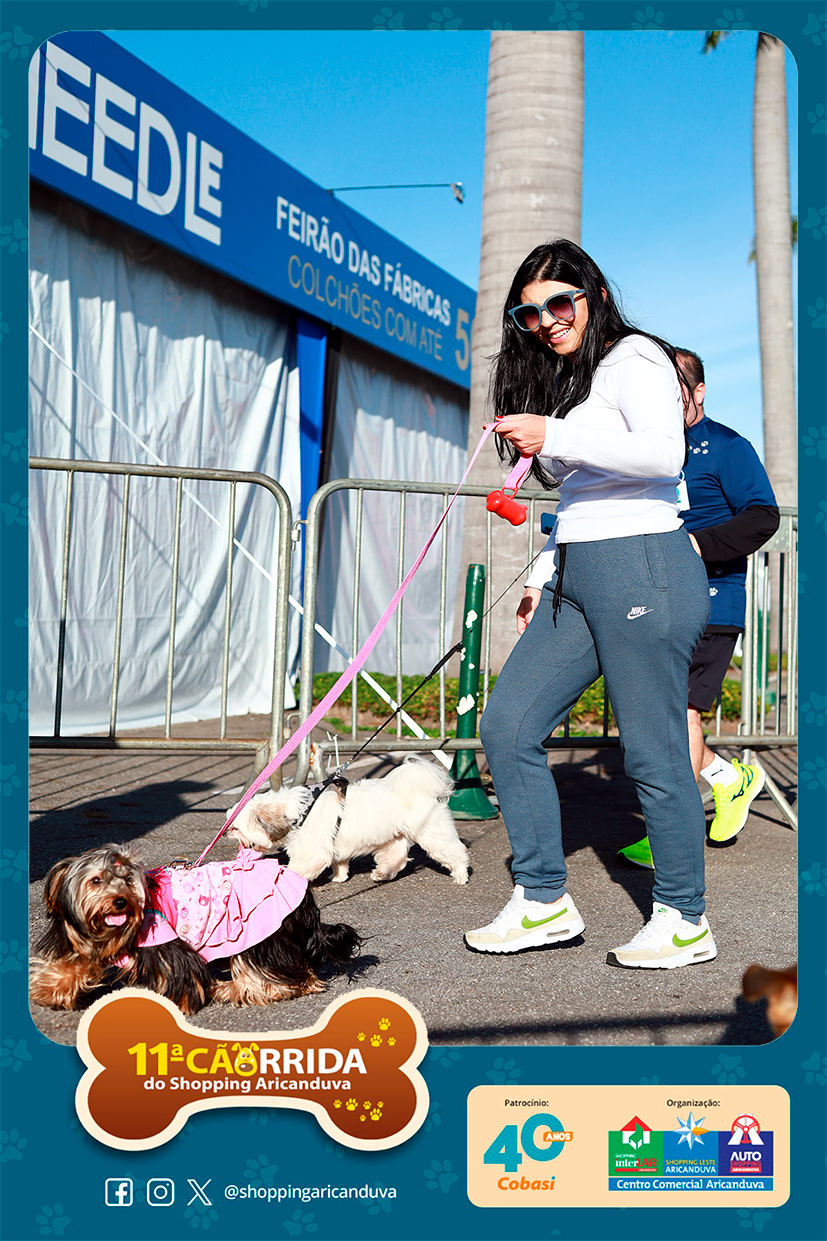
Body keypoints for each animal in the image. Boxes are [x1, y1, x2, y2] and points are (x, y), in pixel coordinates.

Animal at [30, 844, 360, 1014]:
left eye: (127, 880)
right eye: (96, 880)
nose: (121, 901)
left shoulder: (164, 941)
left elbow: (181, 972)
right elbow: (73, 963)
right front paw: (50, 990)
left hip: (262, 931)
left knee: (262, 974)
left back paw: (230, 989)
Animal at [229, 757, 470, 886]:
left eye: (236, 828)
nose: (228, 833)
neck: (299, 810)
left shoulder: (312, 850)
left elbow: (300, 867)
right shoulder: (335, 846)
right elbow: (340, 863)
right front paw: (339, 876)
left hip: (432, 833)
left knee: (454, 852)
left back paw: (460, 875)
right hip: (393, 836)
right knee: (397, 857)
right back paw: (382, 873)